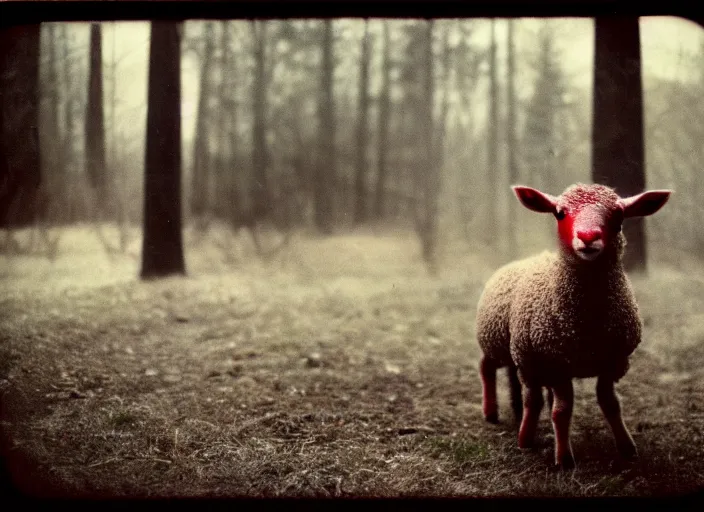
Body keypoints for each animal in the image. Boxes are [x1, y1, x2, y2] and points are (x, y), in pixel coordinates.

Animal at [476, 182, 668, 470]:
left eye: (619, 215)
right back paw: (496, 416)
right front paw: (564, 459)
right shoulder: (556, 364)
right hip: (500, 342)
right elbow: (562, 411)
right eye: (559, 213)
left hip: (523, 354)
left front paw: (627, 447)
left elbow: (610, 403)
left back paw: (522, 422)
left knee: (527, 390)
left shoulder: (613, 362)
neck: (587, 322)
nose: (588, 236)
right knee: (489, 369)